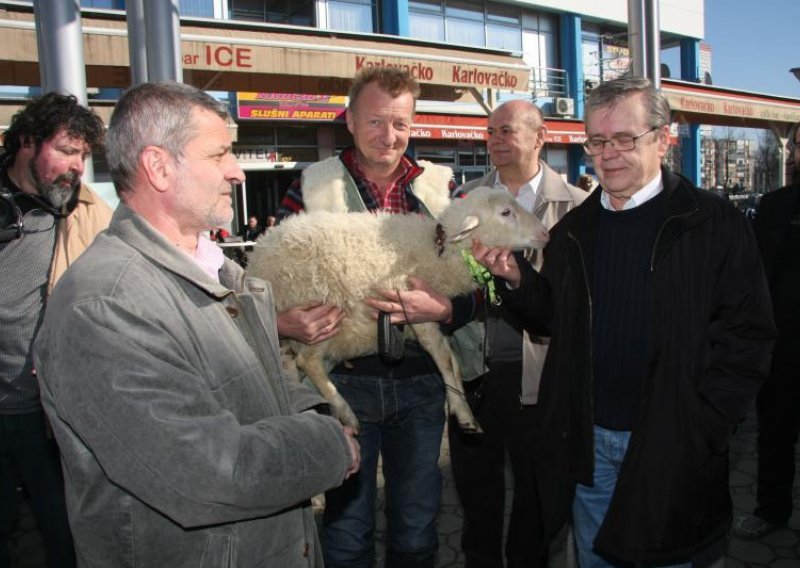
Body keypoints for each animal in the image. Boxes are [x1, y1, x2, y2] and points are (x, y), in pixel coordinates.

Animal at [250, 189, 552, 432]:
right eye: (506, 212)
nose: (545, 234)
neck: (440, 249)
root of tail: (257, 257)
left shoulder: (432, 313)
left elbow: (453, 360)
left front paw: (459, 407)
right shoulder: (415, 311)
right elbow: (444, 359)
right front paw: (465, 414)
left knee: (293, 367)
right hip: (318, 312)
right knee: (309, 361)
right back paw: (346, 413)